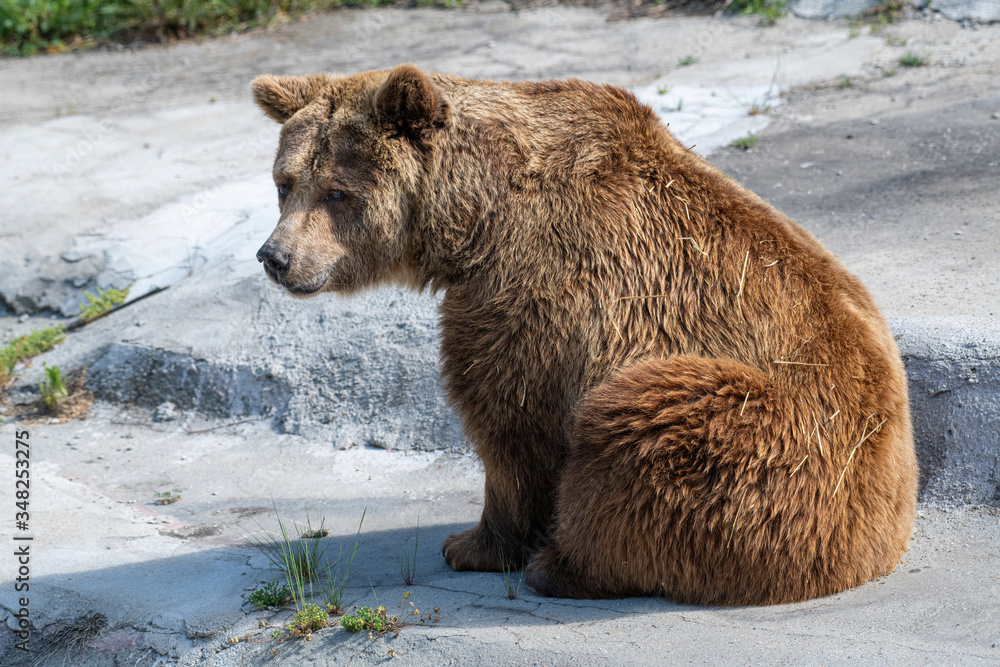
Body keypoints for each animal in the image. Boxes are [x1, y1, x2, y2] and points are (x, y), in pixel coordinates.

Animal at [252, 64, 917, 605]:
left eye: (337, 192)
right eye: (284, 182)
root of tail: (879, 547)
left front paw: (471, 544)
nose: (275, 257)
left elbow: (511, 423)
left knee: (638, 425)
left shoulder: (531, 292)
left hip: (778, 440)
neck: (476, 219)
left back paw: (563, 567)